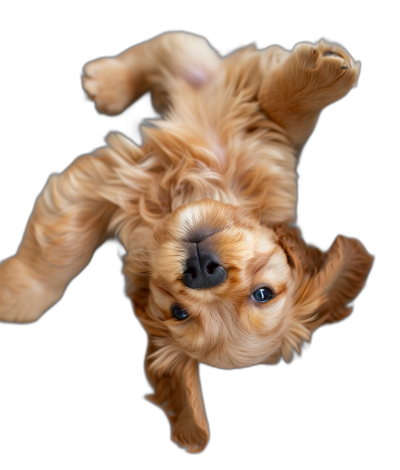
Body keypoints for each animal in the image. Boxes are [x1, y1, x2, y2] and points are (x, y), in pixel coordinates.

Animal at [0, 32, 376, 452]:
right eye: (179, 312)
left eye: (262, 293)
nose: (203, 270)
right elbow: (62, 248)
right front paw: (15, 294)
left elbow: (281, 109)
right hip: (194, 66)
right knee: (171, 50)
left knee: (173, 47)